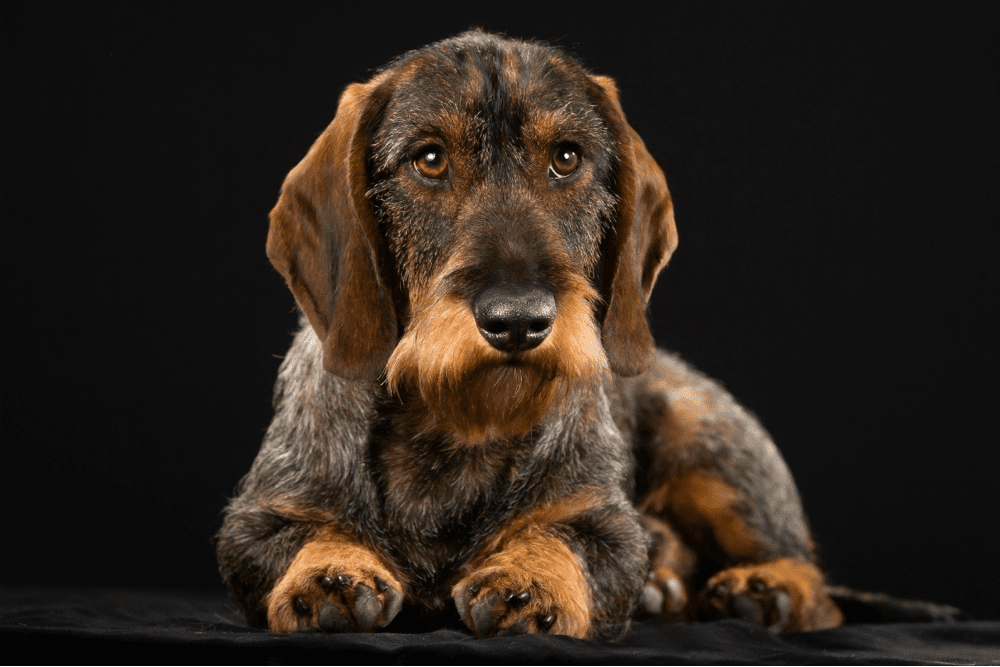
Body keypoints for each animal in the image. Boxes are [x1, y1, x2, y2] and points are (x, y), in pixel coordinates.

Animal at [217, 31, 844, 640]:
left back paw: (766, 589)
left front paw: (531, 577)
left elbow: (565, 538)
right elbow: (298, 533)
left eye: (567, 157)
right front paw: (330, 568)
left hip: (711, 453)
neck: (460, 427)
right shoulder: (255, 519)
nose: (518, 320)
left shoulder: (605, 525)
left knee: (814, 582)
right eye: (430, 159)